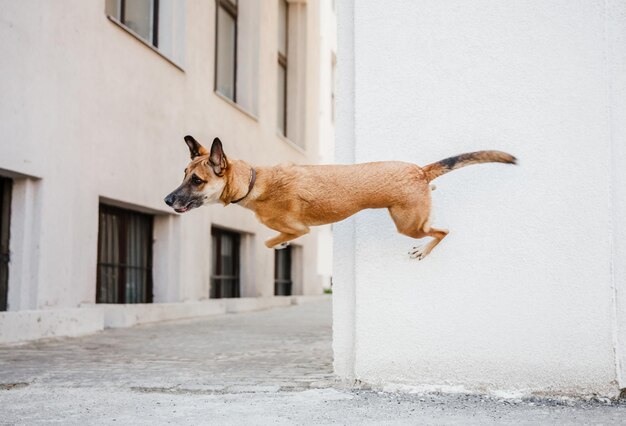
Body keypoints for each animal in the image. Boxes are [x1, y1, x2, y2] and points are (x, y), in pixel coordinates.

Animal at [163, 136, 516, 260]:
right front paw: (282, 244)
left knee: (442, 231)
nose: (167, 200)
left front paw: (279, 244)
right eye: (184, 173)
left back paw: (424, 250)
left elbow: (268, 241)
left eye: (196, 181)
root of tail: (420, 170)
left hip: (409, 226)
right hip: (413, 217)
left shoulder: (299, 228)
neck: (252, 182)